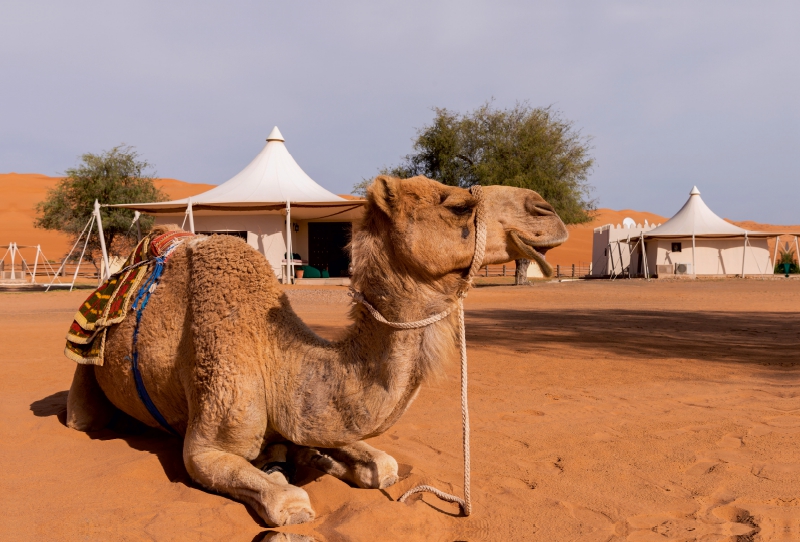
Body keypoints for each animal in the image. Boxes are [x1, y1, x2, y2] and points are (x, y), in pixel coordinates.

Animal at [64, 177, 568, 528]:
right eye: (457, 205)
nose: (547, 210)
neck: (276, 360)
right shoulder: (206, 446)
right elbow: (288, 499)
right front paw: (292, 479)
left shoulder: (312, 415)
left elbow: (383, 466)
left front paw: (323, 459)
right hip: (83, 377)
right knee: (81, 417)